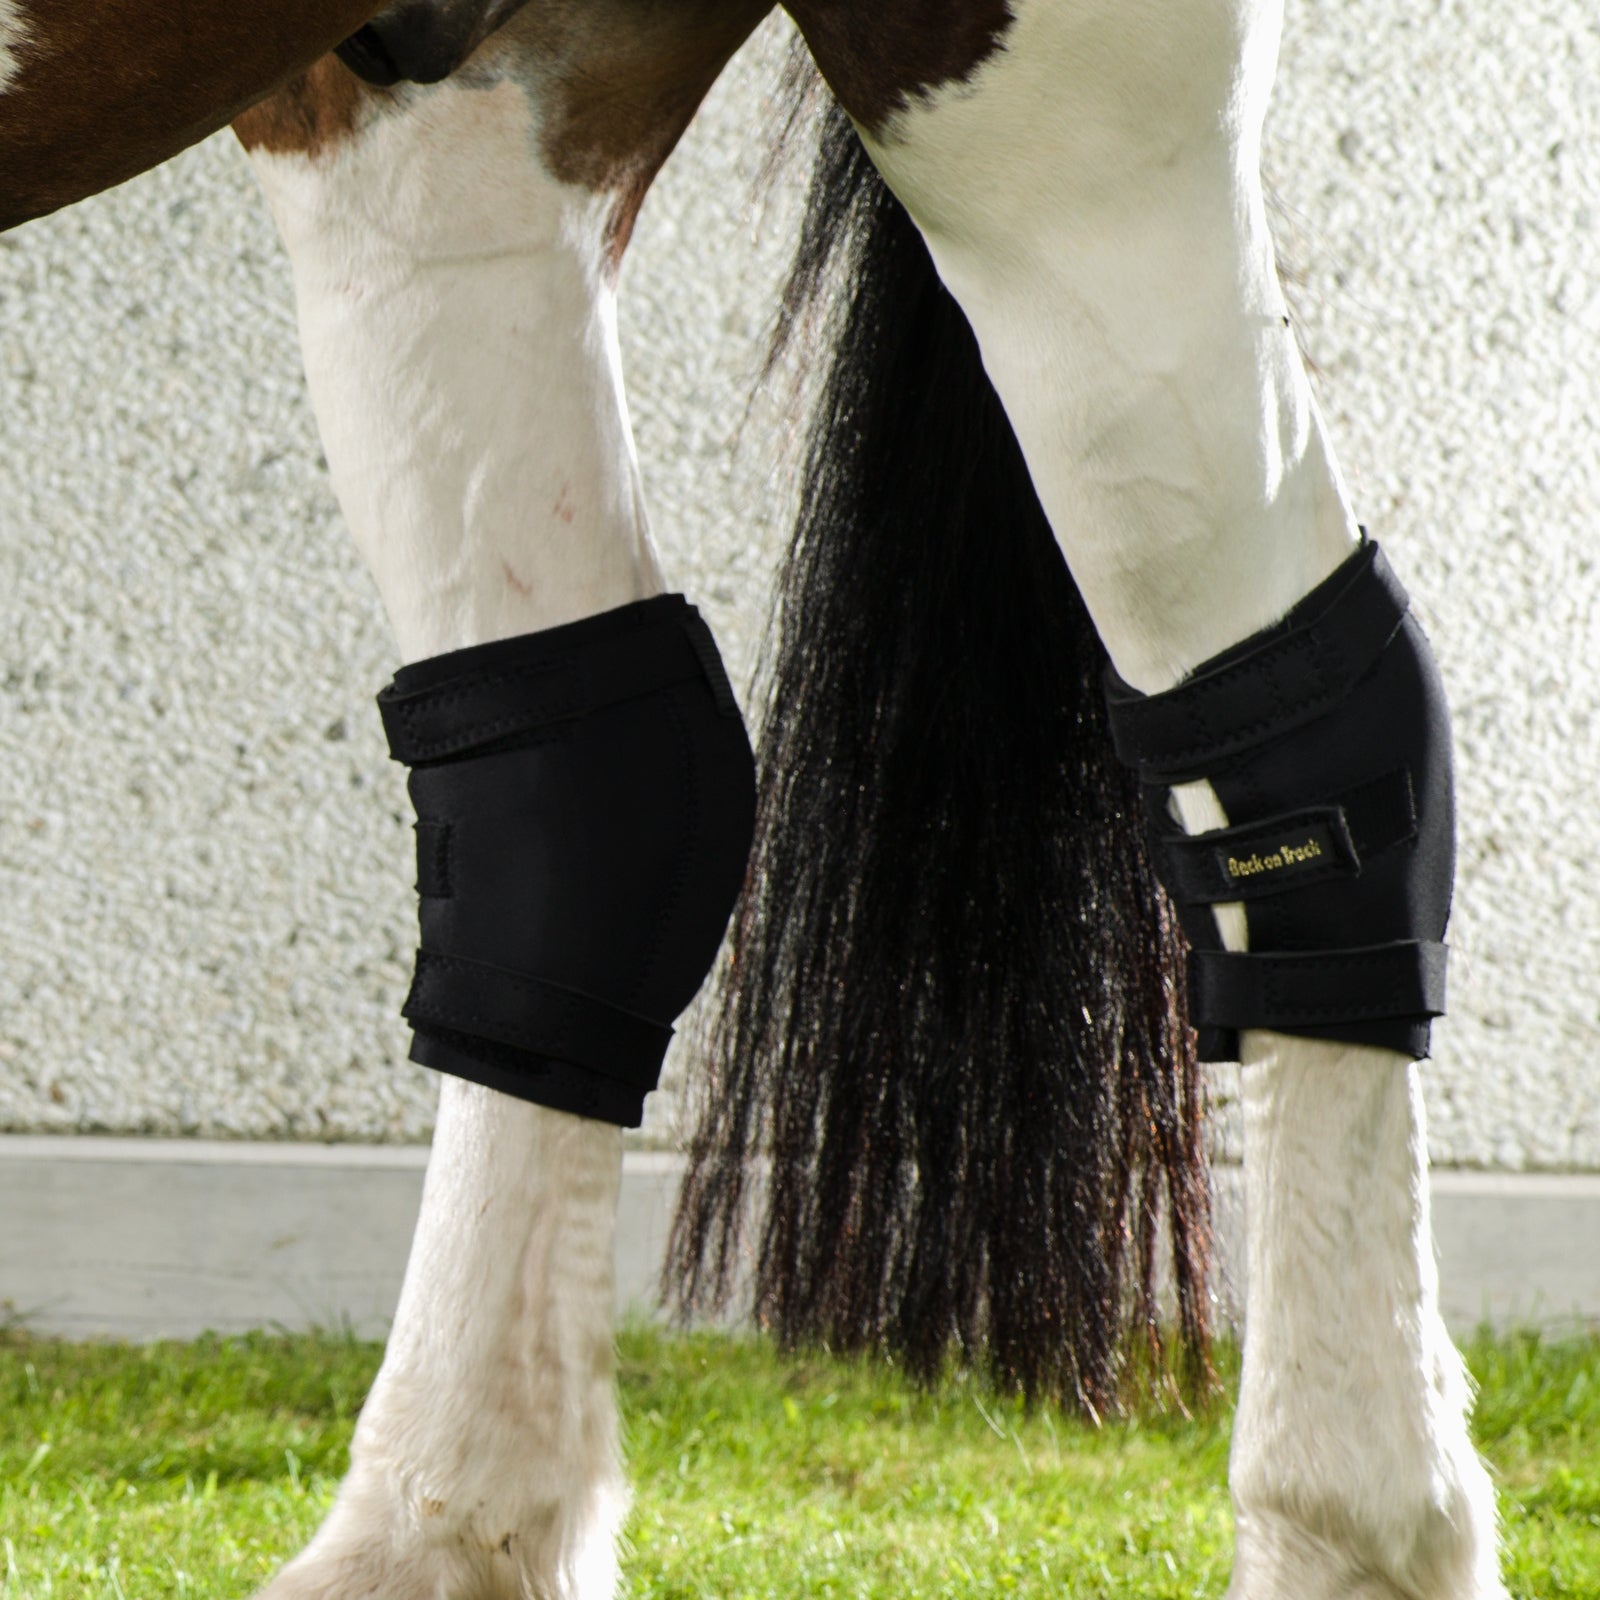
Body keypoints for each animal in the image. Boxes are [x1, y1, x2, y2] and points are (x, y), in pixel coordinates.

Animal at [1, 2, 1508, 1597]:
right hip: (438, 123)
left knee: (1289, 731)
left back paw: (1352, 1525)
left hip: (1038, 117)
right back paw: (439, 1531)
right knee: (580, 788)